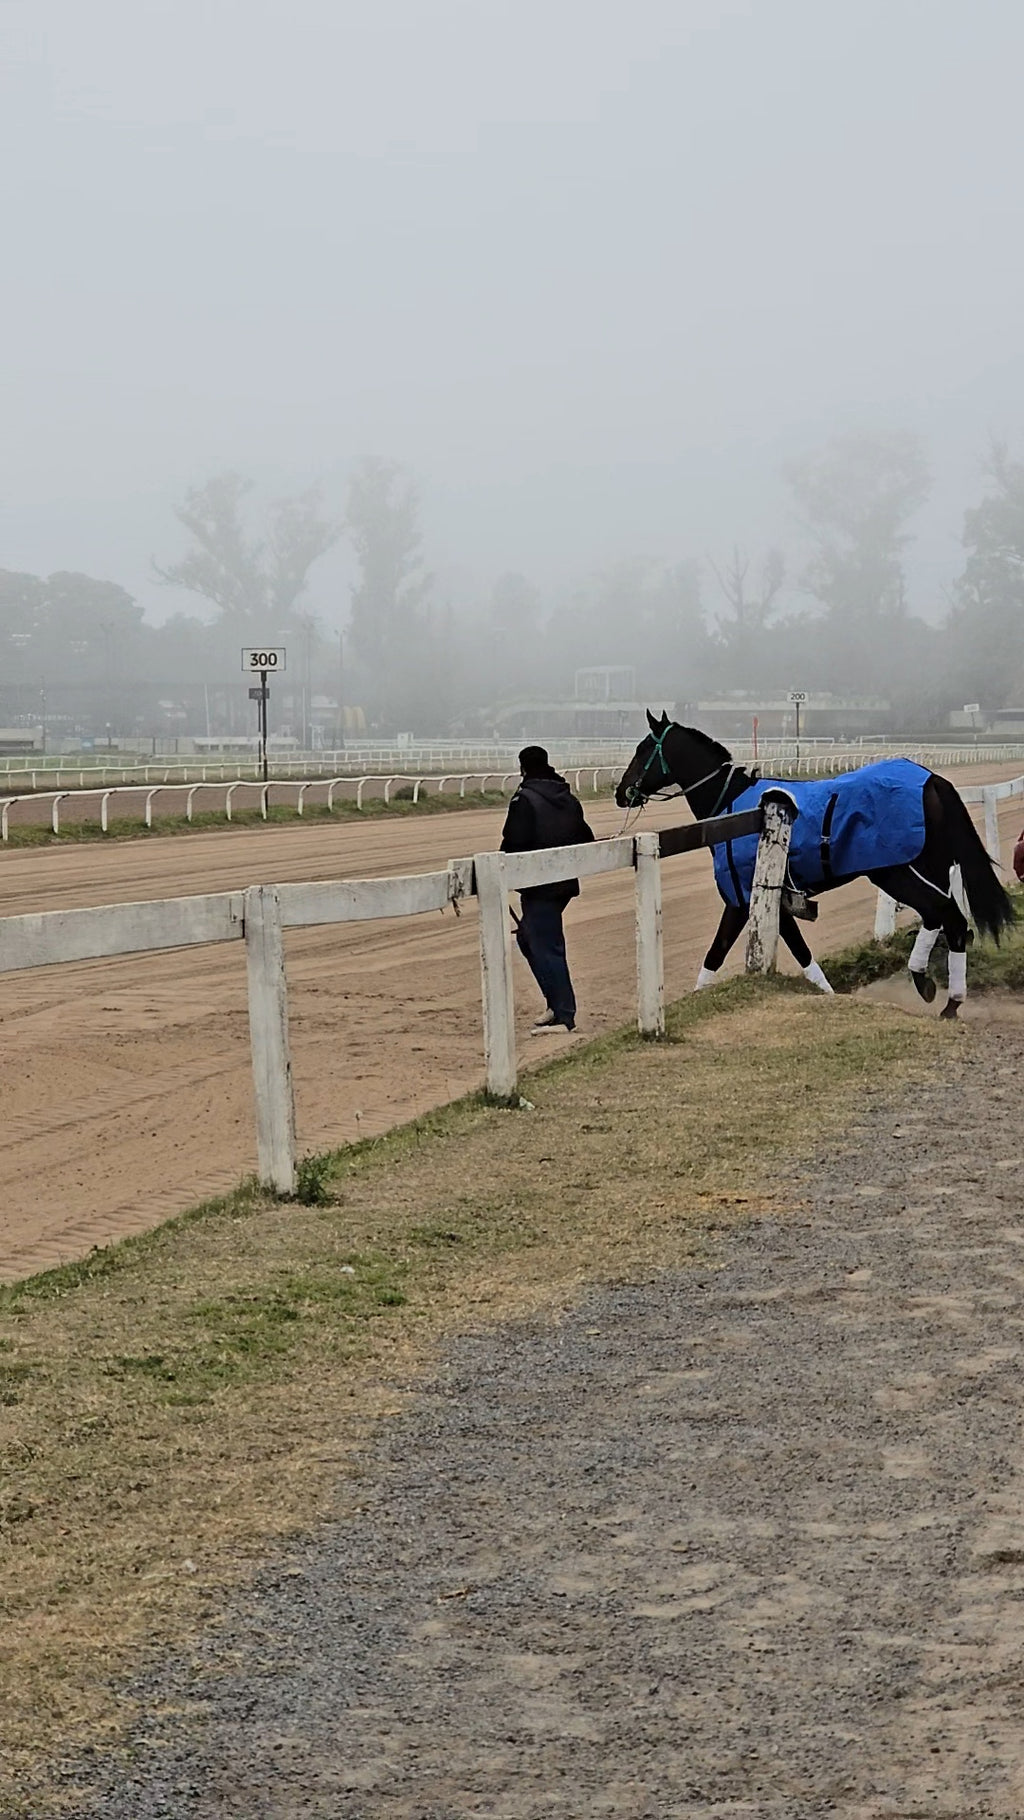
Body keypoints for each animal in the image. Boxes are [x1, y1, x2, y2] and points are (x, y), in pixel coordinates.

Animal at [615, 711, 1014, 1018]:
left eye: (642, 748)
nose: (621, 792)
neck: (734, 809)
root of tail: (931, 779)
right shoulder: (769, 900)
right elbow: (785, 950)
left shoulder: (743, 898)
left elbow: (725, 952)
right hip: (924, 869)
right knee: (945, 918)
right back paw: (938, 990)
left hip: (895, 871)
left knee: (946, 915)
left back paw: (941, 995)